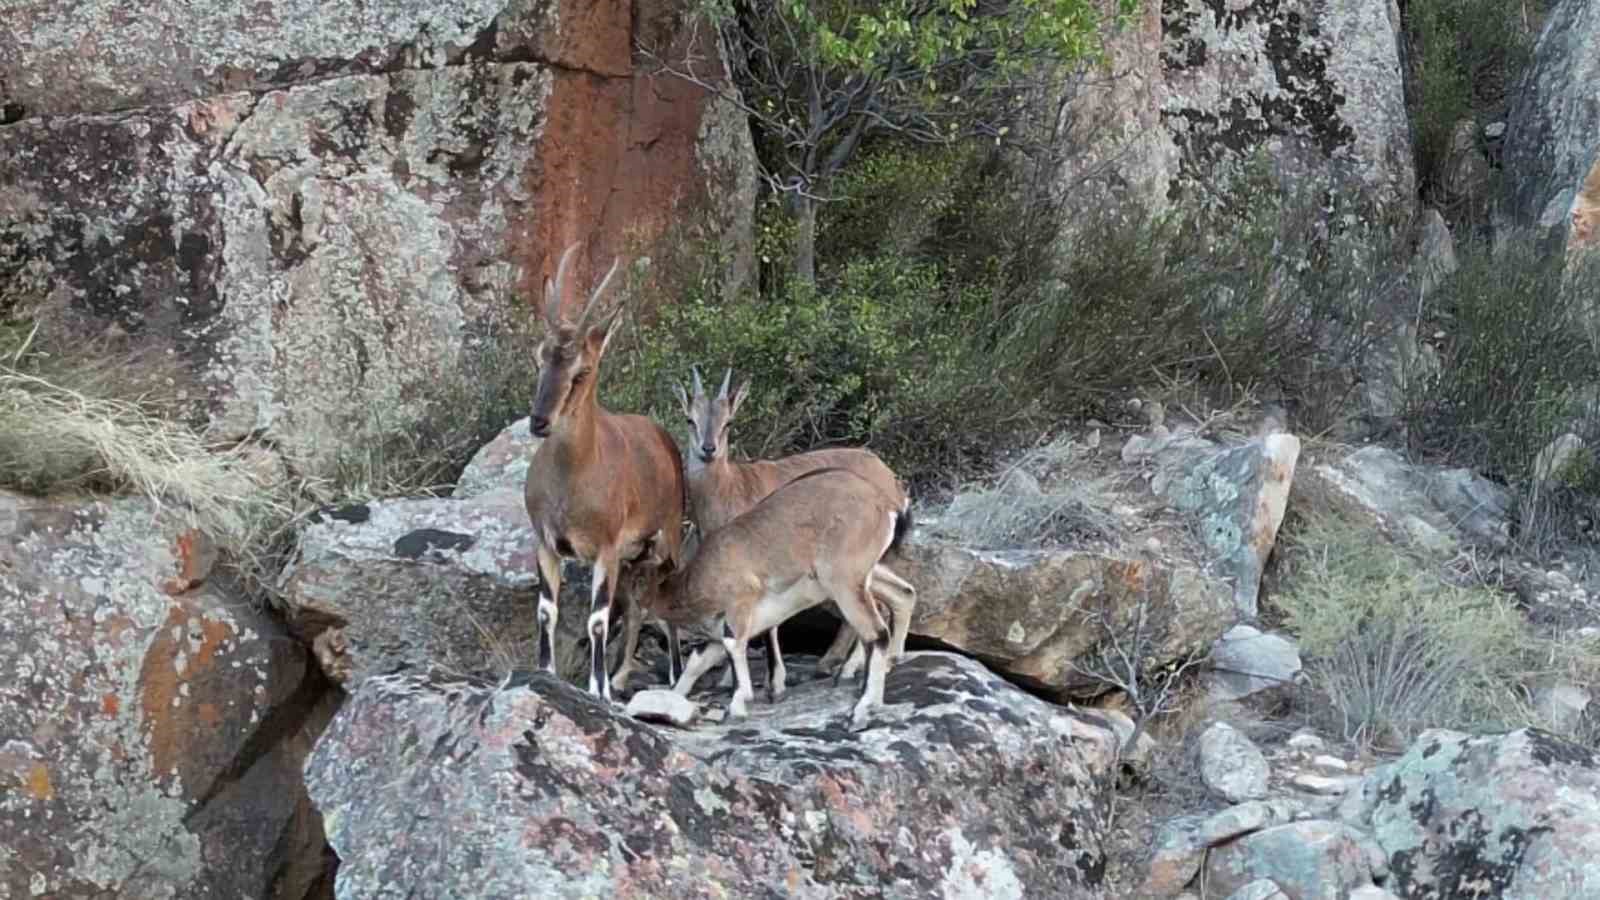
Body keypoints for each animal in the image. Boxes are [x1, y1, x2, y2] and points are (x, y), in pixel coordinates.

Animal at [518, 241, 681, 698]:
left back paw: (674, 676)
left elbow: (596, 619)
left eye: (582, 371)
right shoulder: (546, 541)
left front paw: (597, 689)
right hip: (633, 556)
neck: (573, 480)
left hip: (668, 536)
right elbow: (546, 611)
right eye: (539, 357)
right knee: (638, 607)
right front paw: (547, 673)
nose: (540, 421)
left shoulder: (606, 547)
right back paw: (625, 674)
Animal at [643, 464, 908, 723]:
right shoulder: (734, 626)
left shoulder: (739, 609)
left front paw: (740, 704)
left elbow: (735, 646)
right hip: (864, 579)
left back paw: (861, 707)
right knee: (900, 598)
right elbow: (700, 659)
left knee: (877, 633)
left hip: (845, 585)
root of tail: (887, 506)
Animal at [672, 366, 921, 695]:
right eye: (690, 419)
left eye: (728, 422)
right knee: (898, 595)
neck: (730, 487)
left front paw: (771, 681)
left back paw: (844, 667)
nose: (708, 450)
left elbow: (766, 623)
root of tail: (893, 489)